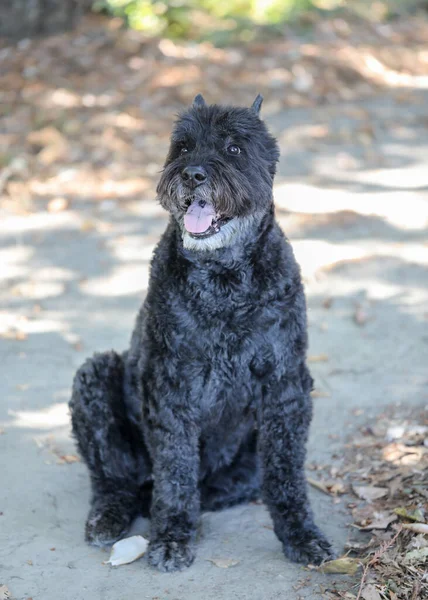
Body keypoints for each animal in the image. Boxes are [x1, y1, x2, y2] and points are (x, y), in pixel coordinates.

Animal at [69, 94, 334, 572]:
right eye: (184, 146)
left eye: (233, 148)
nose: (192, 174)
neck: (224, 279)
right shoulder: (170, 385)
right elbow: (175, 469)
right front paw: (172, 536)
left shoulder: (285, 387)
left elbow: (285, 473)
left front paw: (301, 534)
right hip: (95, 377)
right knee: (114, 478)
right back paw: (111, 514)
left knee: (225, 484)